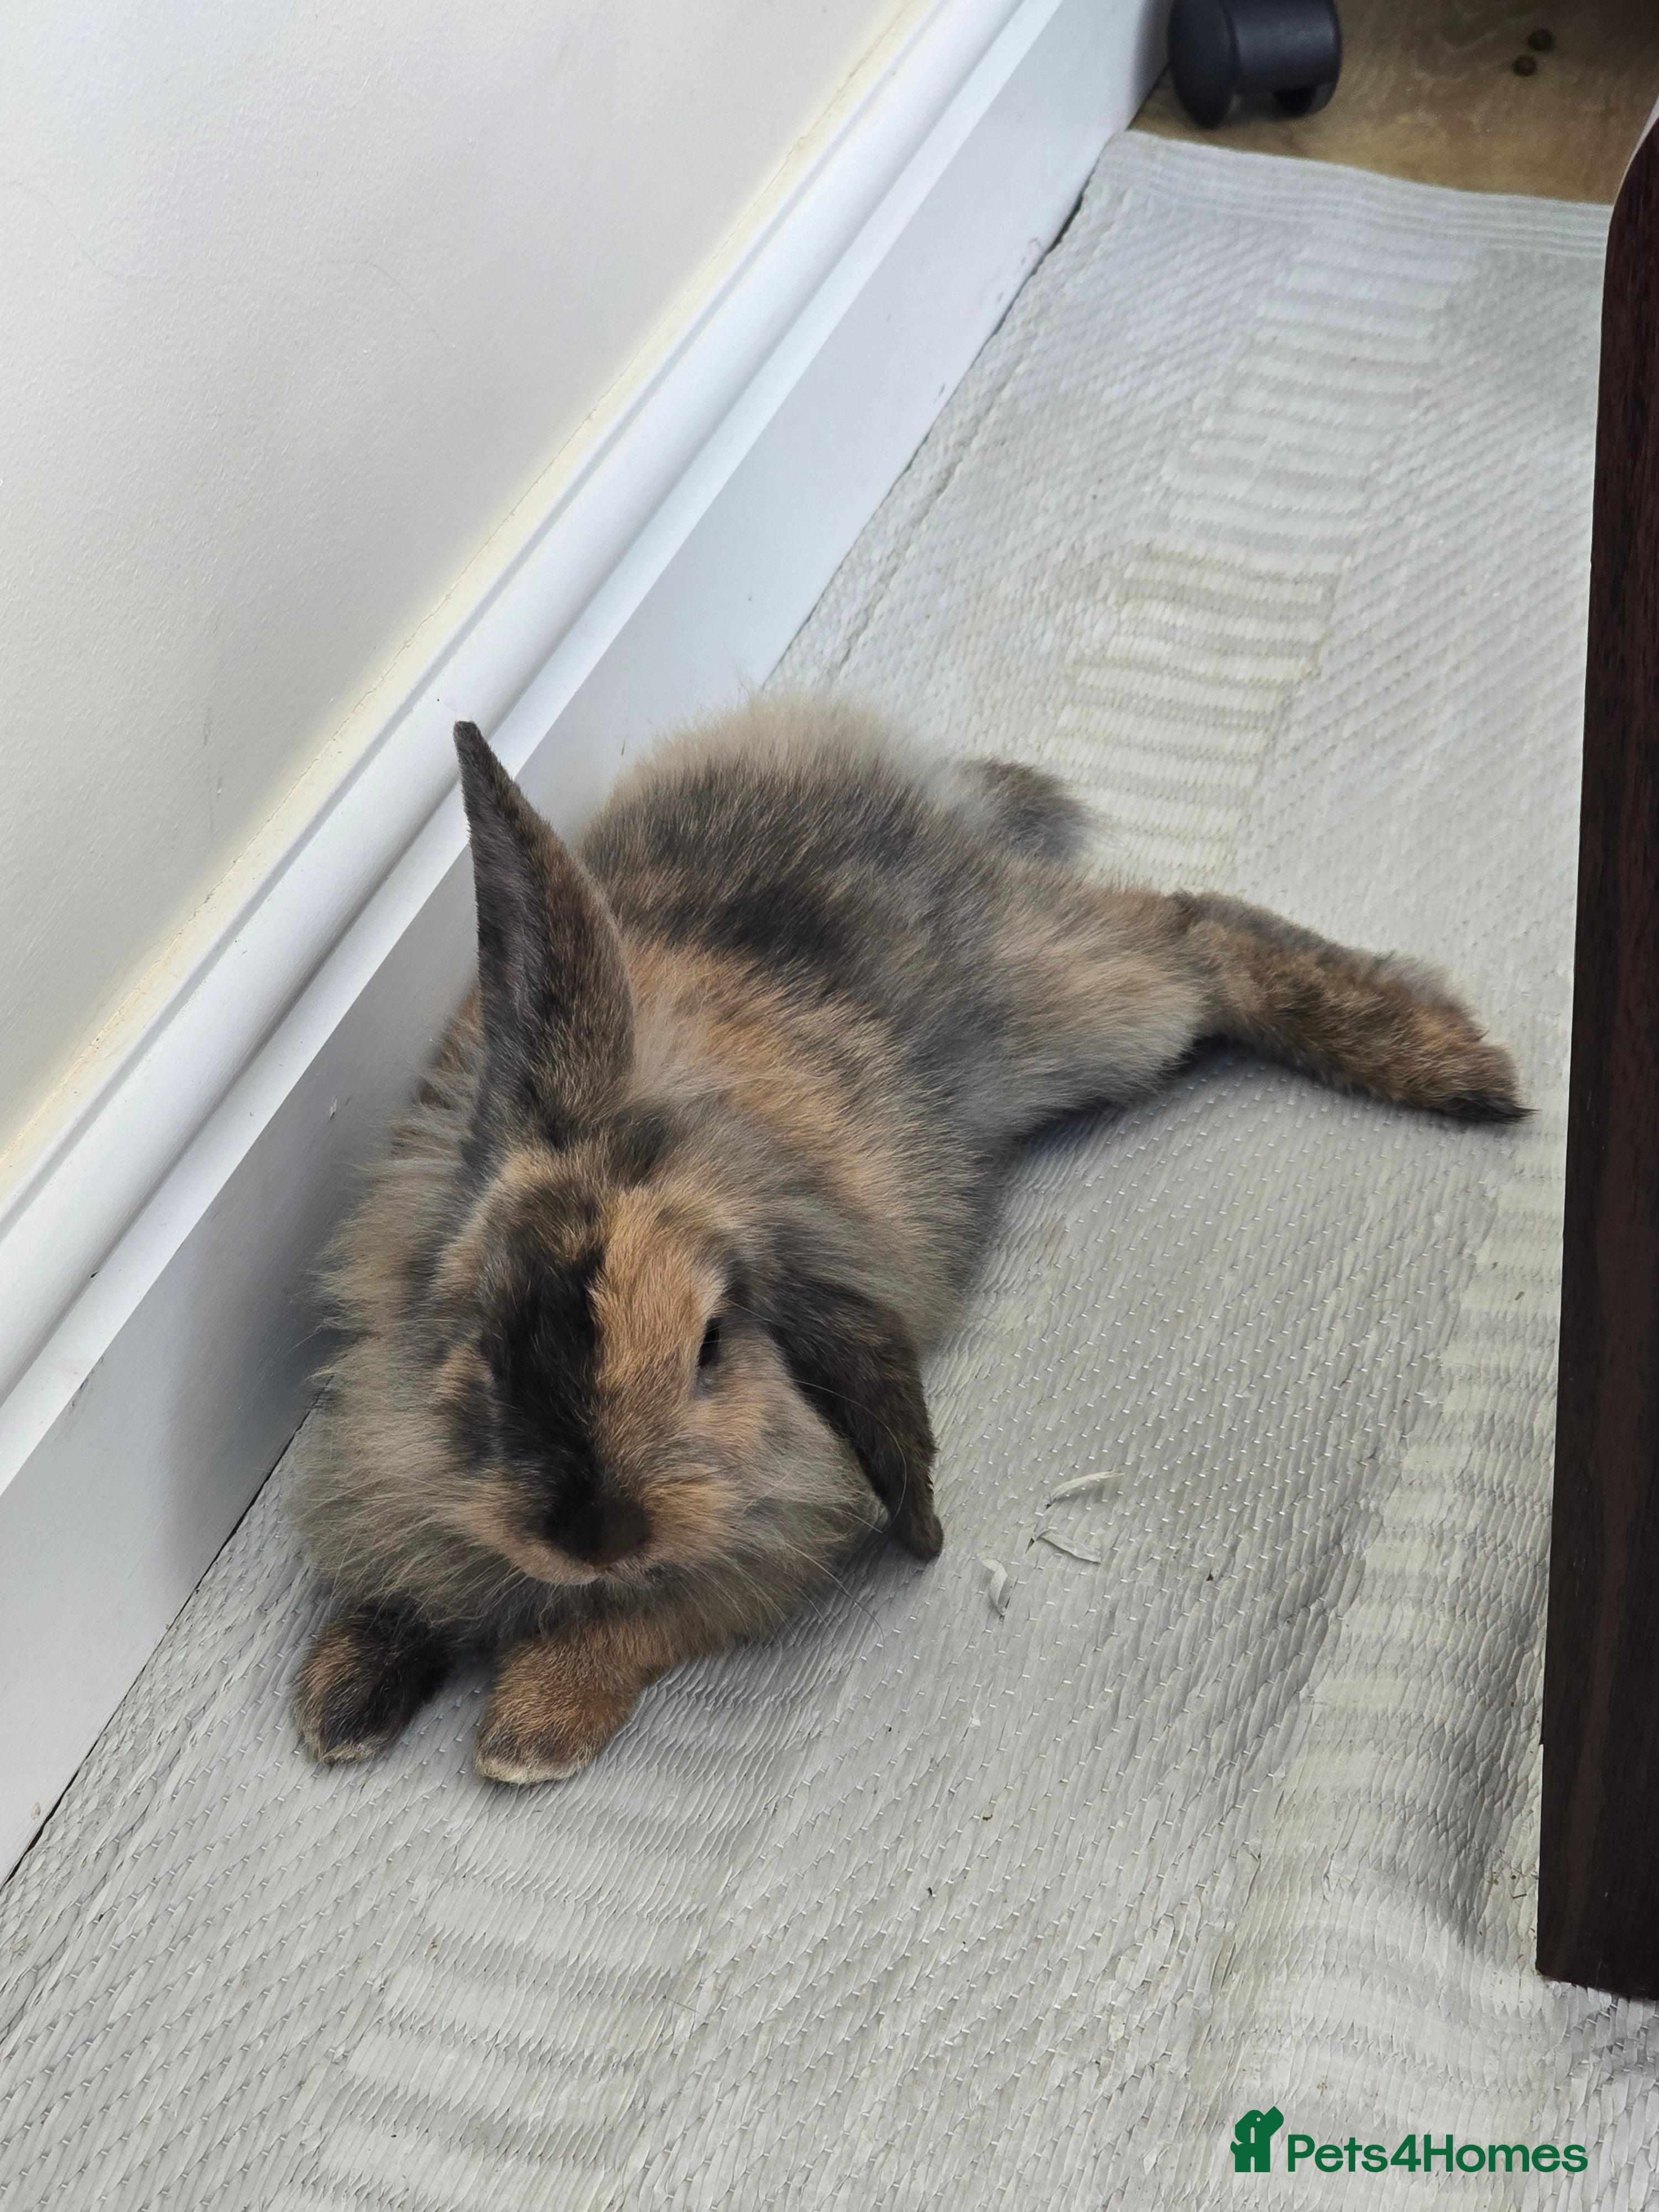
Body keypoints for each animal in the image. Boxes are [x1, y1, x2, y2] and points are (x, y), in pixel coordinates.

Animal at [292, 696, 1522, 1783]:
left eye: (710, 1347)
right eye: (491, 1340)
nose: (597, 1537)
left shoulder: (782, 1535)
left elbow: (642, 1624)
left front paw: (529, 1734)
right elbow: (408, 1575)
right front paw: (338, 1702)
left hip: (1079, 1011)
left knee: (1192, 927)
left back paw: (1453, 1065)